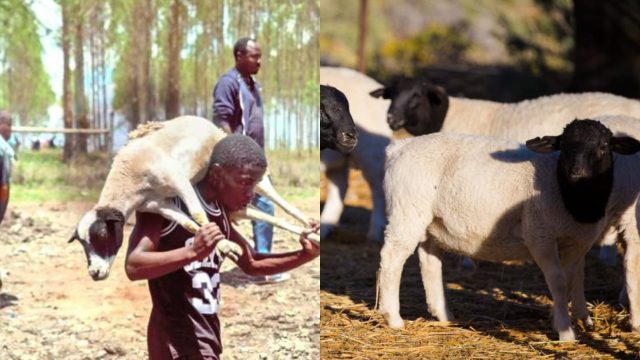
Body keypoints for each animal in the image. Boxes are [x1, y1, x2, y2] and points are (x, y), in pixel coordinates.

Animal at [378, 120, 640, 340]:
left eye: (604, 146)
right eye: (564, 146)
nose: (577, 172)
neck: (569, 193)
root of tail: (399, 148)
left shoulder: (577, 241)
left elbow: (572, 279)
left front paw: (565, 319)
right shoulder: (539, 235)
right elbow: (557, 281)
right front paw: (566, 333)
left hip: (432, 221)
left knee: (430, 262)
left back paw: (444, 315)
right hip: (407, 213)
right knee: (391, 259)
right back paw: (393, 318)